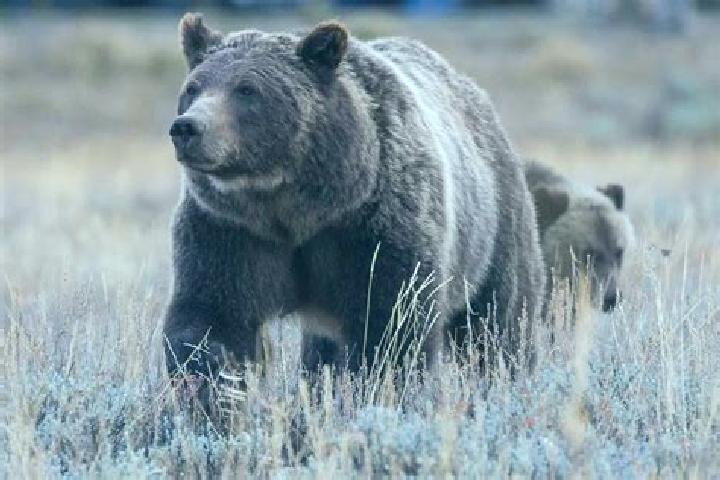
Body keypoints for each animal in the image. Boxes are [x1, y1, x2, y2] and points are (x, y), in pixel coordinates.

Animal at [163, 13, 545, 382]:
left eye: (247, 89)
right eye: (193, 87)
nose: (187, 127)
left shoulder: (374, 225)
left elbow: (391, 323)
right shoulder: (230, 228)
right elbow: (213, 317)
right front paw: (208, 385)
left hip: (494, 228)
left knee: (497, 319)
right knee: (322, 352)